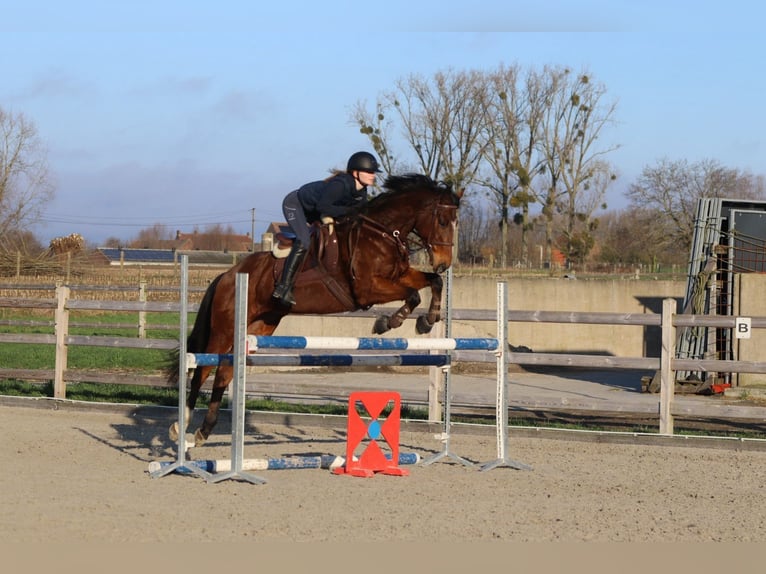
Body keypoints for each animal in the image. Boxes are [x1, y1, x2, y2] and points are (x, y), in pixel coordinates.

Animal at [167, 173, 463, 446]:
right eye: (443, 221)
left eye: (455, 223)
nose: (443, 263)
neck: (382, 233)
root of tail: (227, 275)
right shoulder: (367, 288)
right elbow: (413, 294)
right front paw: (389, 322)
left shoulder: (399, 275)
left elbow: (432, 283)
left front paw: (427, 320)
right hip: (224, 328)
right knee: (202, 368)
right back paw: (181, 426)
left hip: (260, 324)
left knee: (224, 372)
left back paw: (205, 430)